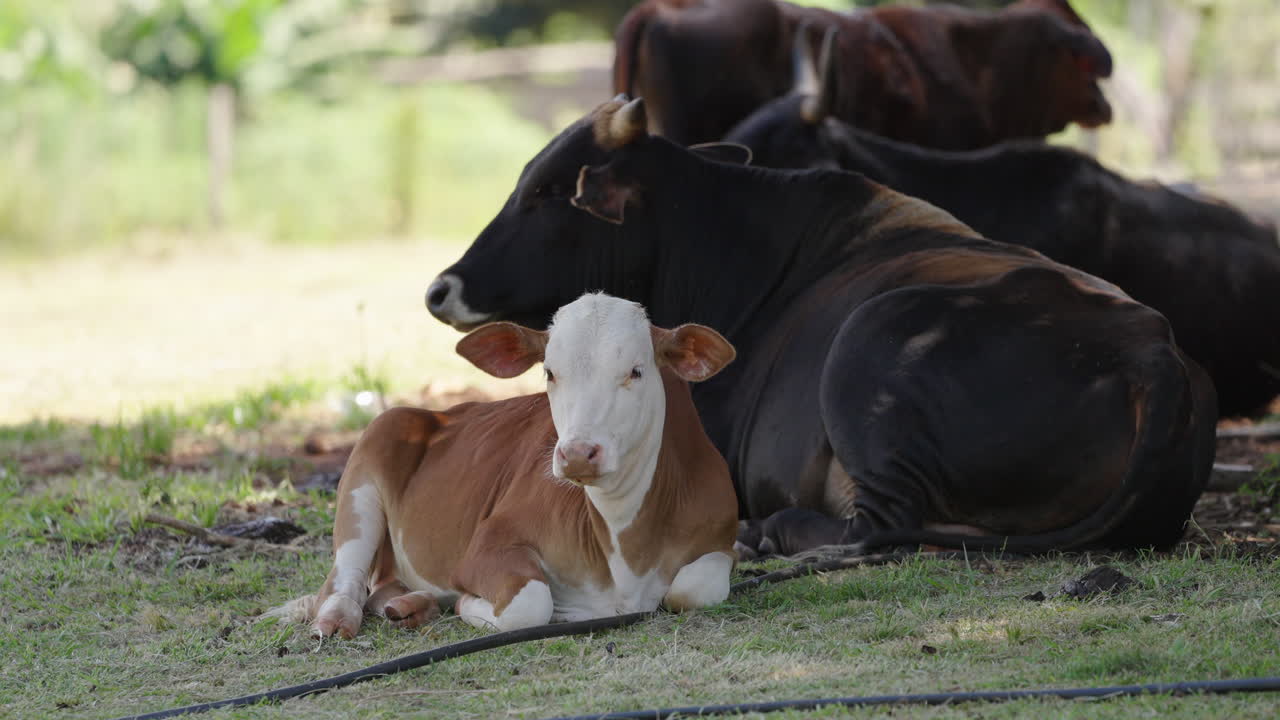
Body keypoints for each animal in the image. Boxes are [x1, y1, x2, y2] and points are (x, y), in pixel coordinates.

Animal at [269, 292, 739, 637]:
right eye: (549, 372)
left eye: (636, 371)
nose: (577, 453)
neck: (626, 544)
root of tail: (439, 414)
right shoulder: (486, 547)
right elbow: (530, 604)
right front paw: (473, 604)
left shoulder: (720, 535)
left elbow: (693, 589)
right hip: (369, 461)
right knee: (344, 578)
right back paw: (337, 619)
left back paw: (410, 605)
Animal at [425, 97, 1217, 558]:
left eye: (545, 192)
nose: (441, 288)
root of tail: (1153, 351)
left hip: (873, 341)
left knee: (876, 528)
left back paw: (767, 533)